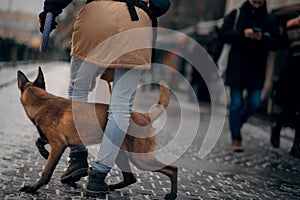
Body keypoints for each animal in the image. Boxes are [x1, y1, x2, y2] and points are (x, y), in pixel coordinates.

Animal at [17, 67, 178, 200]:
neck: (42, 102)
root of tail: (145, 116)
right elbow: (38, 140)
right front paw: (44, 152)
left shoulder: (58, 145)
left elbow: (47, 171)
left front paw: (33, 188)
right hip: (120, 154)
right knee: (130, 178)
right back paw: (108, 188)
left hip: (140, 159)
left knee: (172, 169)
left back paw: (172, 195)